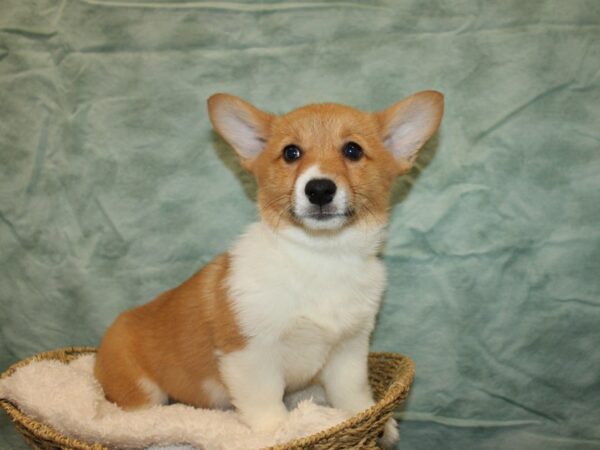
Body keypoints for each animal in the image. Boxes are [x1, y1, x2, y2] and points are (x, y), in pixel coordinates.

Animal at [92, 89, 440, 444]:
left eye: (353, 150)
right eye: (291, 152)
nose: (319, 189)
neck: (321, 255)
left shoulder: (349, 350)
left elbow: (353, 394)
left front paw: (374, 421)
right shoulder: (250, 353)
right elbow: (266, 402)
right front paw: (281, 432)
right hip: (141, 389)